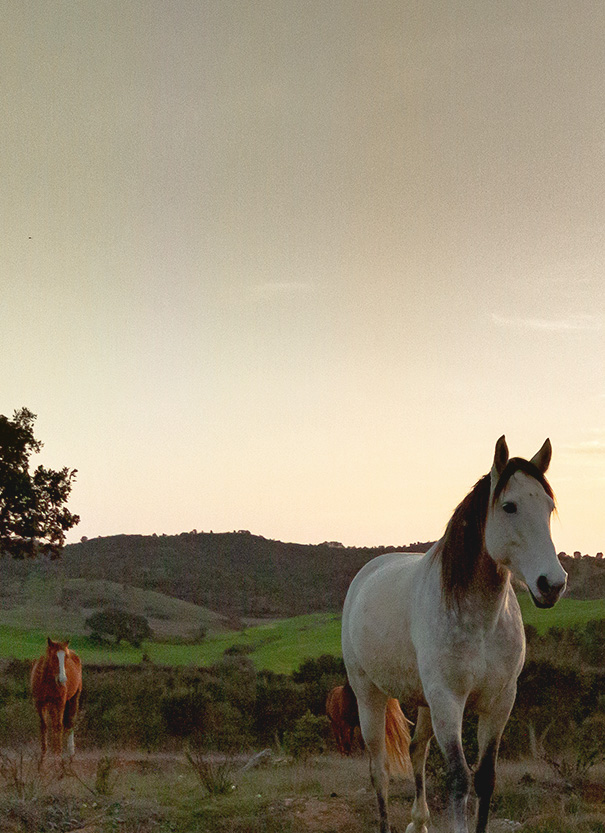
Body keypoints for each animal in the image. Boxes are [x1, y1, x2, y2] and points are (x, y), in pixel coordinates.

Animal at [342, 436, 567, 833]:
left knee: (416, 751)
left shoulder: (500, 702)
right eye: (509, 506)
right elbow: (459, 778)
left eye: (549, 507)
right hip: (370, 695)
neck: (483, 624)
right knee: (379, 772)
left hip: (424, 701)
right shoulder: (448, 700)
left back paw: (419, 822)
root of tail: (366, 574)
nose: (552, 585)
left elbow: (485, 778)